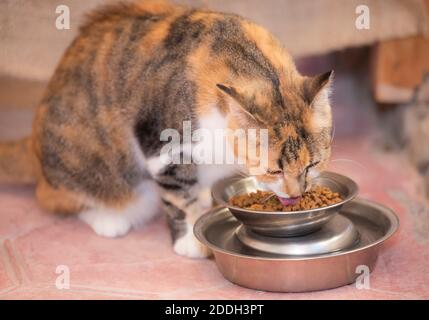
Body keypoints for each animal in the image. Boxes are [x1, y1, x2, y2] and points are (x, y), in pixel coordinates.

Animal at [0, 0, 332, 258]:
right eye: (274, 170)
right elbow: (181, 197)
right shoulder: (165, 146)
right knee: (58, 197)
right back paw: (109, 218)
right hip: (86, 168)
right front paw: (191, 241)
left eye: (312, 164)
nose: (296, 195)